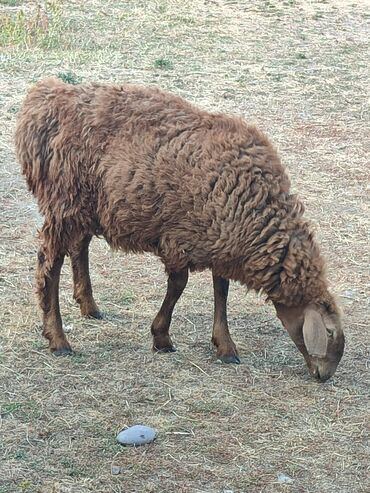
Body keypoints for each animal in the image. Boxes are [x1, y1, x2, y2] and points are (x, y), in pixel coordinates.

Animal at [14, 79, 344, 380]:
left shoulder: (220, 238)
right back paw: (58, 340)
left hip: (86, 207)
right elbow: (179, 285)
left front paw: (225, 346)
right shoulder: (178, 238)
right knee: (49, 266)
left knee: (78, 246)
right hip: (63, 202)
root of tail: (44, 99)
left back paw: (89, 306)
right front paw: (161, 337)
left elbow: (221, 290)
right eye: (328, 333)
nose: (324, 376)